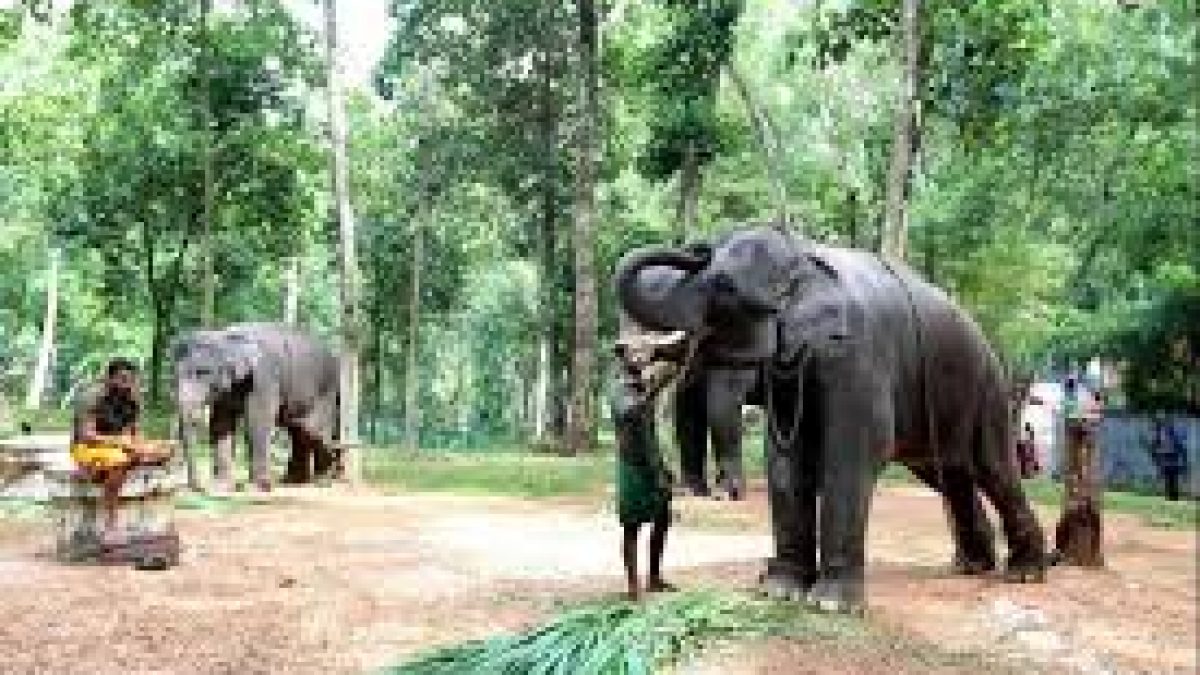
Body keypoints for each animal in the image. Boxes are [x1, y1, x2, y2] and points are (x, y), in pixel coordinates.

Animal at [172, 322, 341, 492]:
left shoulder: (262, 377)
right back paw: (294, 481)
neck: (226, 336)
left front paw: (258, 486)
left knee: (315, 430)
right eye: (175, 374)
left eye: (203, 372)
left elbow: (257, 421)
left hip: (326, 390)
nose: (197, 487)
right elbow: (220, 424)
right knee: (299, 431)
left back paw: (323, 480)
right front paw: (221, 485)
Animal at [615, 223, 1047, 612]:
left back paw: (1025, 573)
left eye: (724, 286)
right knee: (952, 476)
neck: (804, 255)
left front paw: (830, 604)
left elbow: (851, 455)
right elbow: (785, 462)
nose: (696, 247)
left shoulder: (857, 357)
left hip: (987, 391)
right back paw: (973, 566)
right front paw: (779, 591)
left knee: (993, 469)